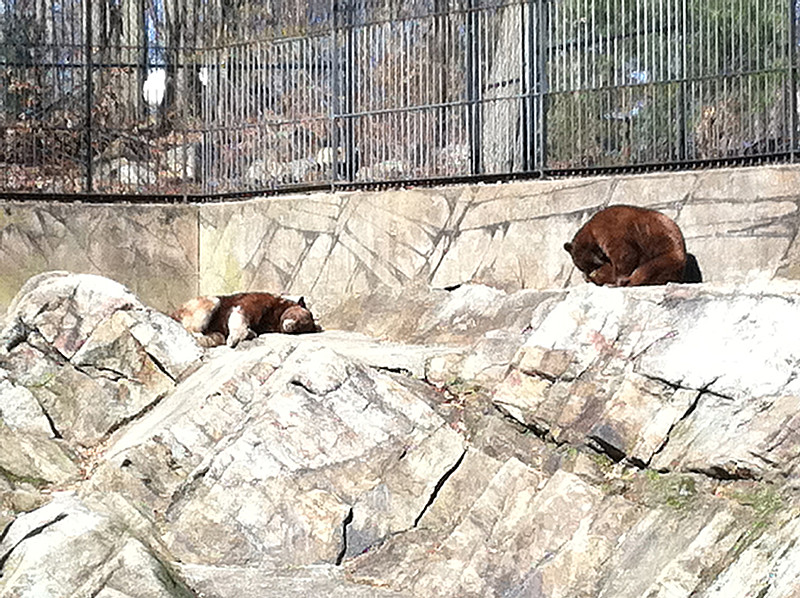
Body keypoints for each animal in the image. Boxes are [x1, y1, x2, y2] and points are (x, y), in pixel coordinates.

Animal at [172, 292, 318, 350]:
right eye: (296, 316)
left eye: (301, 327)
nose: (290, 326)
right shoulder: (258, 301)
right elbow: (241, 312)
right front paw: (236, 338)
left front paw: (250, 333)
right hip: (198, 304)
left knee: (217, 336)